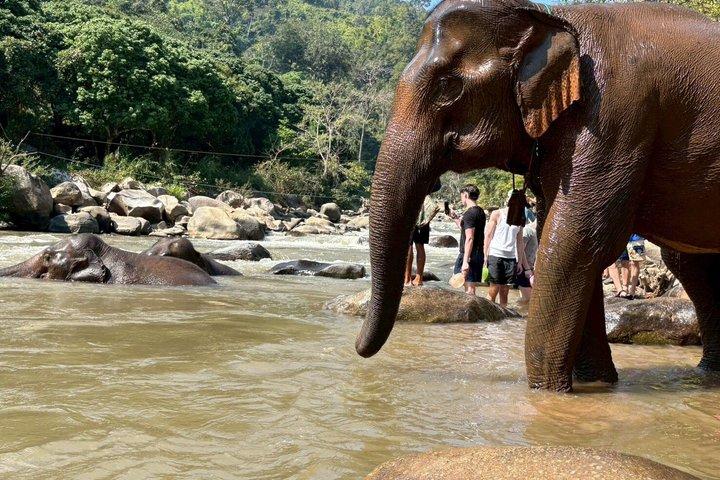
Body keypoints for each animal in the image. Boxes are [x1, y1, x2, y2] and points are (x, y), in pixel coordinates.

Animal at [355, 0, 720, 392]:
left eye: (448, 86)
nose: (358, 348)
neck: (554, 18)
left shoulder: (616, 115)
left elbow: (577, 239)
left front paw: (550, 393)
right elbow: (554, 232)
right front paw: (597, 385)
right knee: (689, 263)